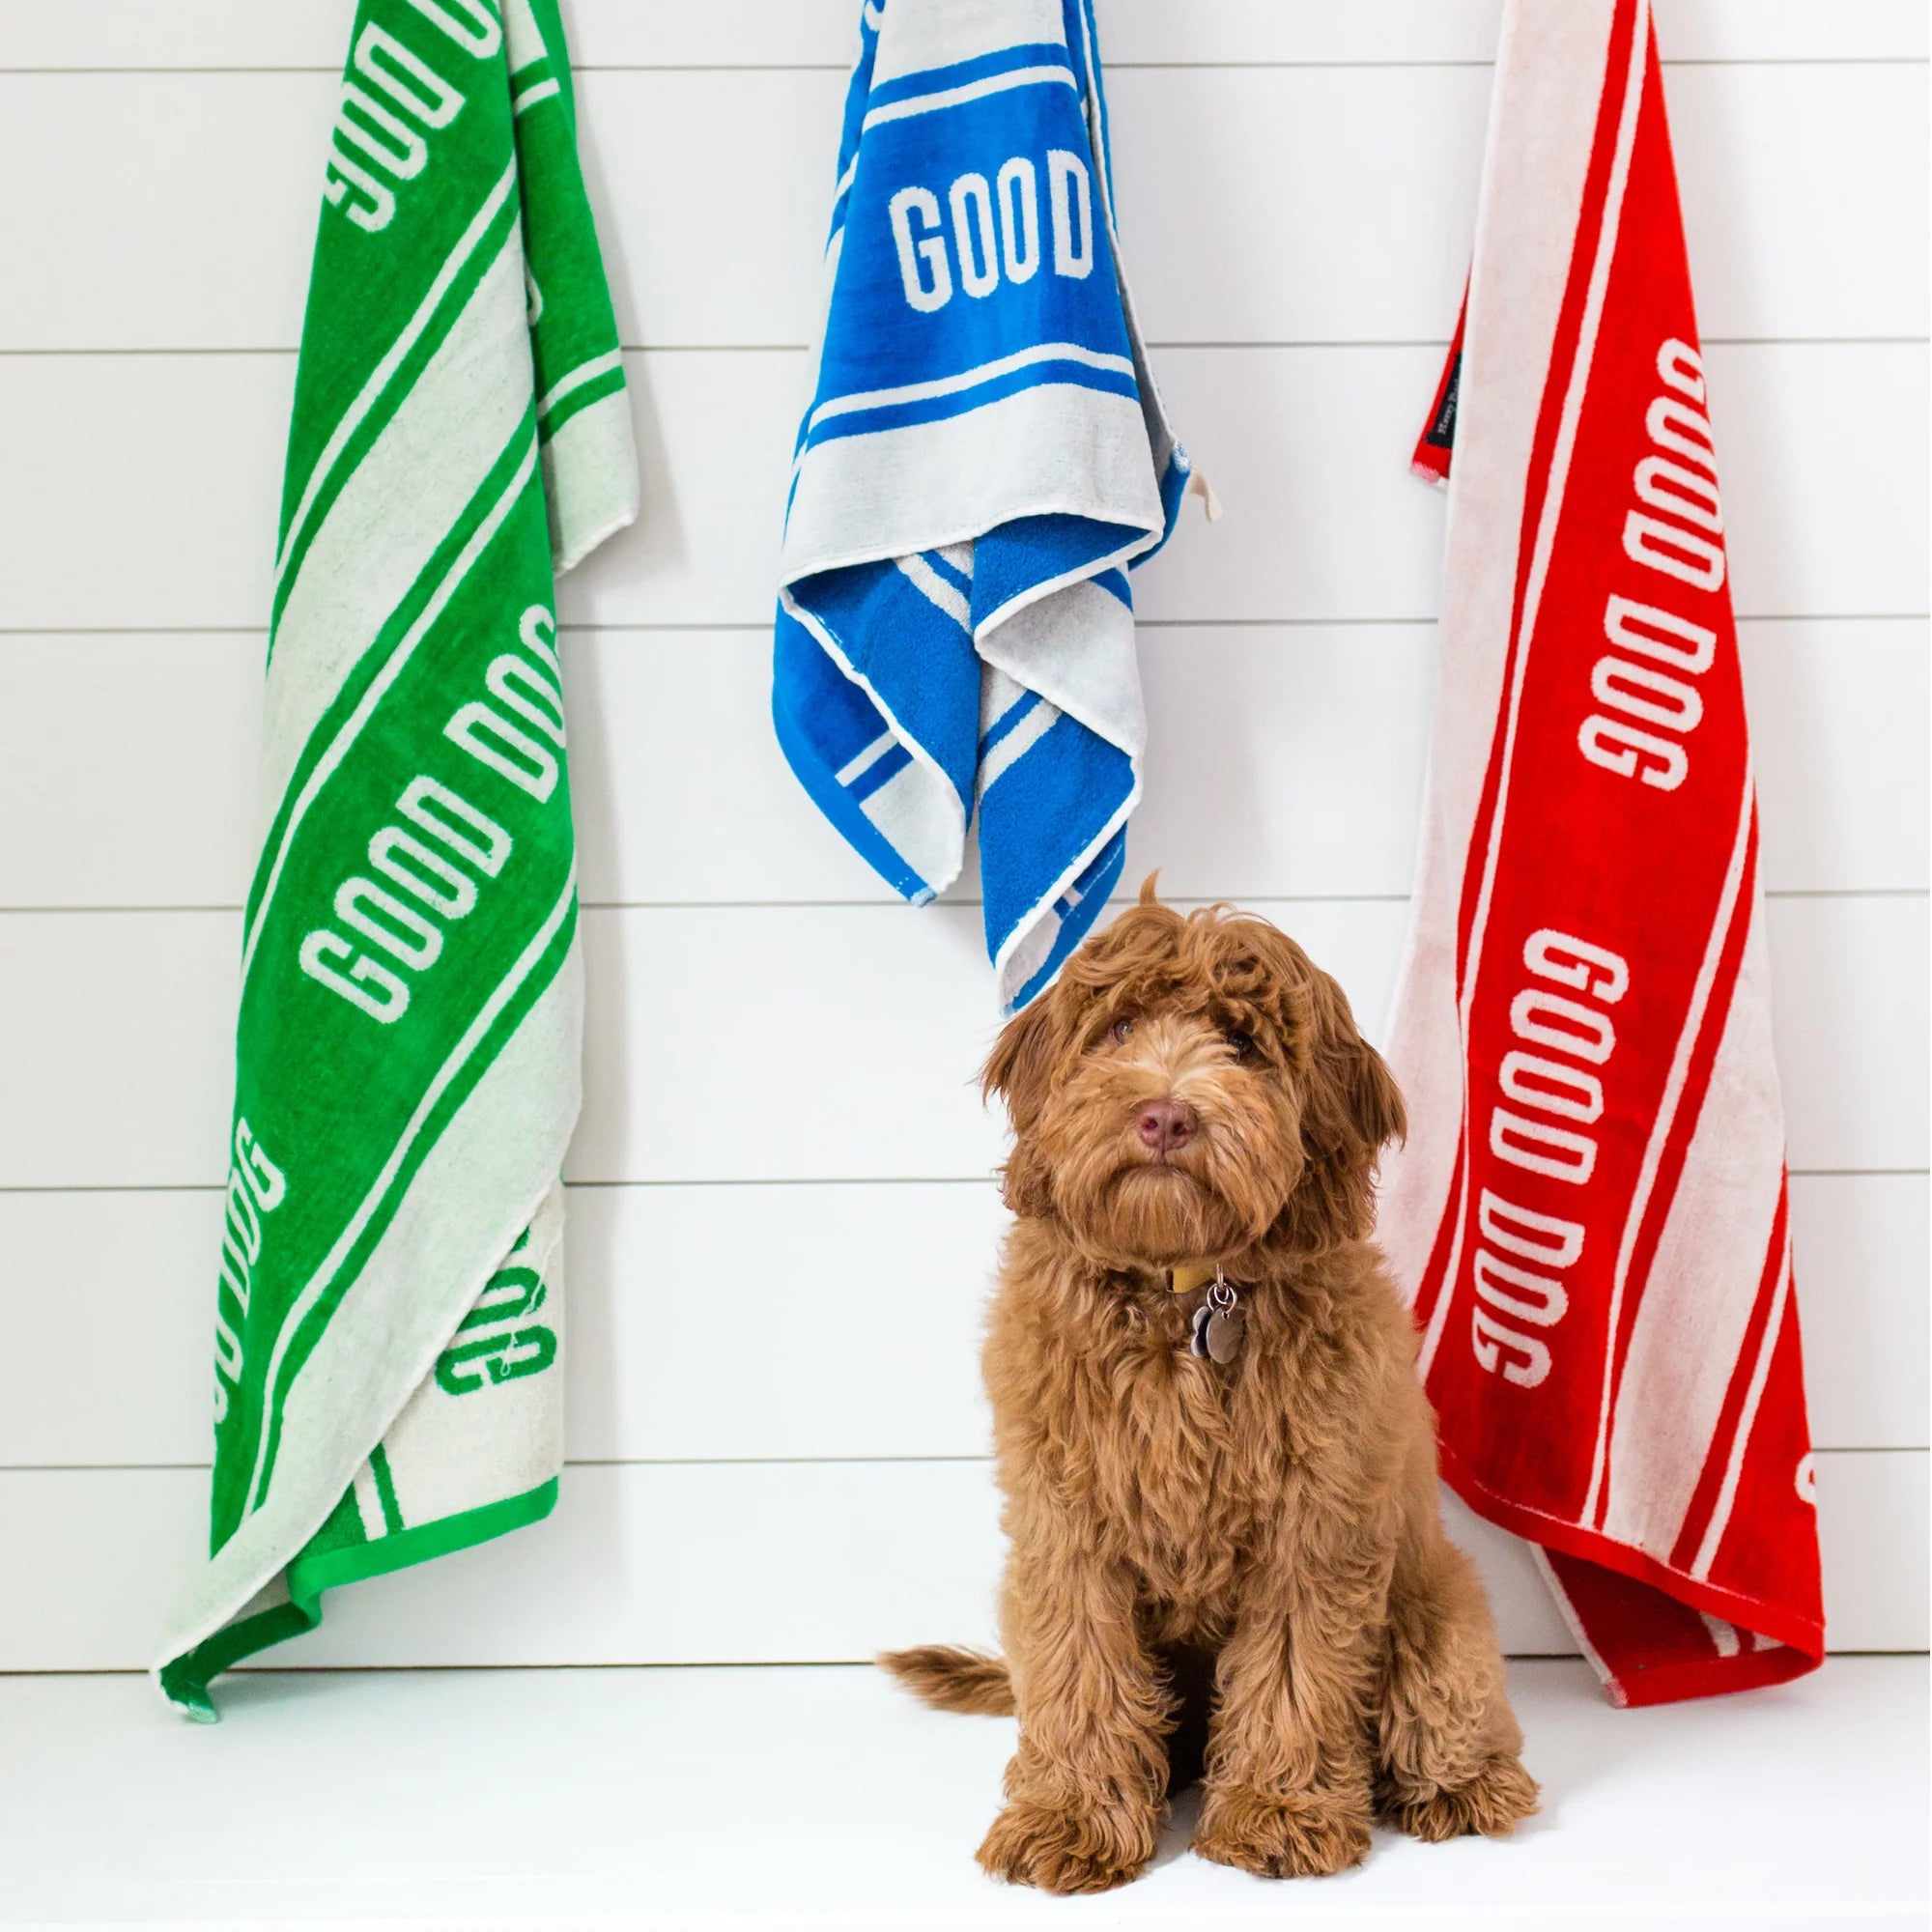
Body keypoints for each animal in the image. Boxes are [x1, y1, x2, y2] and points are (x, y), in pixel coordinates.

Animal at [881, 885, 1537, 1892]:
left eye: (1242, 1042)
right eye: (1118, 1028)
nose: (1164, 1117)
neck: (1185, 1288)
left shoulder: (1317, 1524)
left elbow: (1295, 1671)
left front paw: (1275, 1812)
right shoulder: (1064, 1525)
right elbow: (1080, 1669)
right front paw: (1072, 1817)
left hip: (1440, 1614)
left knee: (1445, 1714)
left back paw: (1462, 1788)